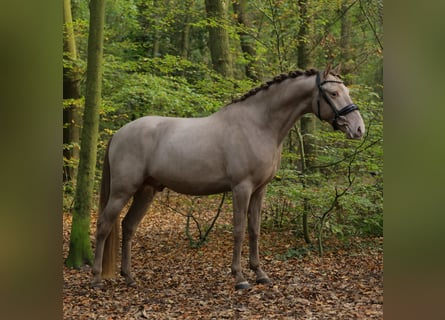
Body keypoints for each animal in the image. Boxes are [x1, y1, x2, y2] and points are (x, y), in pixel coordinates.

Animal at [91, 67, 364, 290]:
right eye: (333, 93)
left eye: (346, 91)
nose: (358, 128)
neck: (258, 124)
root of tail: (119, 133)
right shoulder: (241, 188)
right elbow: (239, 230)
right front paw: (240, 278)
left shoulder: (260, 189)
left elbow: (254, 229)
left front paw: (260, 274)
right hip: (123, 190)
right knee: (104, 224)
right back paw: (96, 278)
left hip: (146, 190)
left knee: (128, 226)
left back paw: (129, 277)